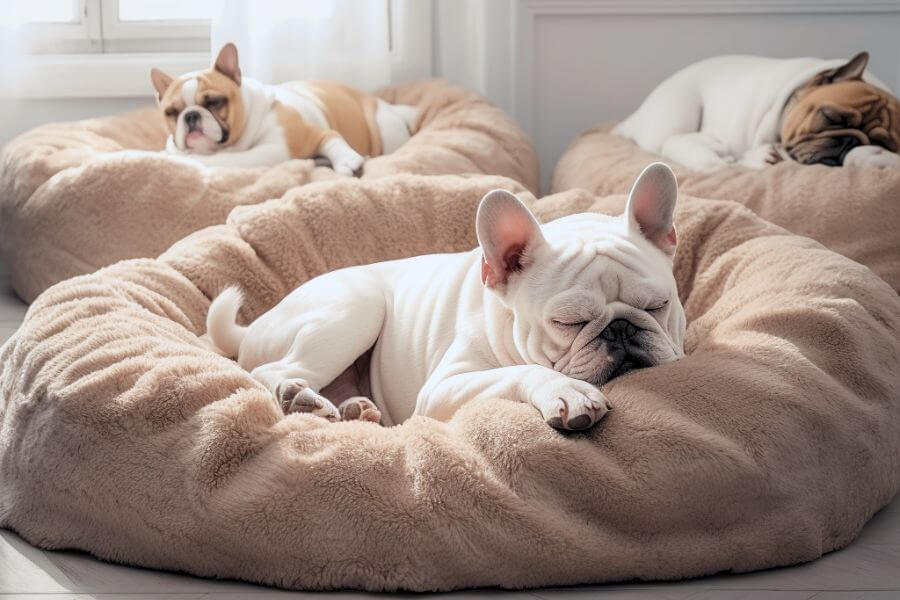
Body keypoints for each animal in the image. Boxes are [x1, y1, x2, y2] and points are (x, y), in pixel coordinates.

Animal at [149, 42, 416, 172]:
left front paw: (348, 161)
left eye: (214, 102)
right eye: (172, 113)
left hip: (386, 131)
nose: (191, 115)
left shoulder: (298, 139)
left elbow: (331, 139)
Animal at [207, 162, 684, 428]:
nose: (621, 330)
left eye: (658, 306)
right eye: (568, 323)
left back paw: (355, 409)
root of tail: (255, 325)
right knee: (271, 370)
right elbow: (523, 372)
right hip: (356, 306)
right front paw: (565, 390)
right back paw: (299, 397)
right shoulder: (442, 388)